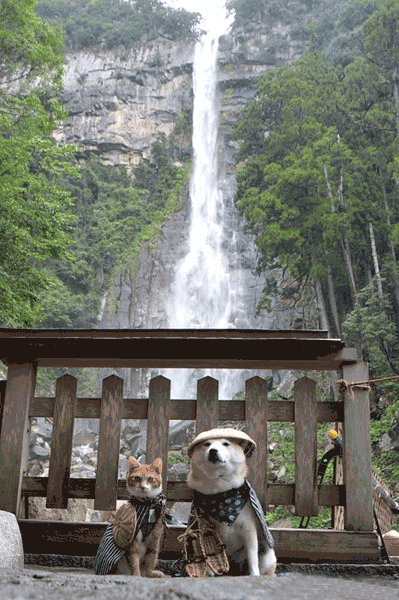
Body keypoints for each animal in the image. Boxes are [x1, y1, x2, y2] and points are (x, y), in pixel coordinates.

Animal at [186, 426, 276, 576]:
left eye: (225, 444)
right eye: (207, 444)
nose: (213, 450)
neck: (221, 493)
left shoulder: (248, 528)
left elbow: (252, 556)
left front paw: (254, 575)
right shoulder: (205, 528)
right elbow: (208, 553)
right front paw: (209, 573)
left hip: (268, 556)